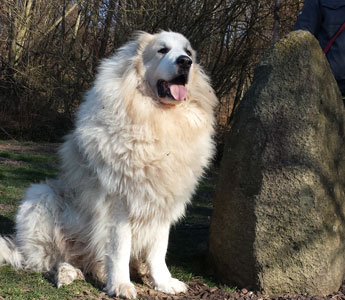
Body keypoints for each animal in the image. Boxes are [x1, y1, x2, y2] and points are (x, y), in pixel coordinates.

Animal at [0, 30, 215, 298]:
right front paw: (120, 285)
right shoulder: (118, 203)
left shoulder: (161, 202)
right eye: (162, 50)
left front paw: (163, 282)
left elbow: (159, 249)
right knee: (51, 260)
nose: (186, 62)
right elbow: (119, 249)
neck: (156, 118)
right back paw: (68, 273)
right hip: (42, 195)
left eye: (188, 52)